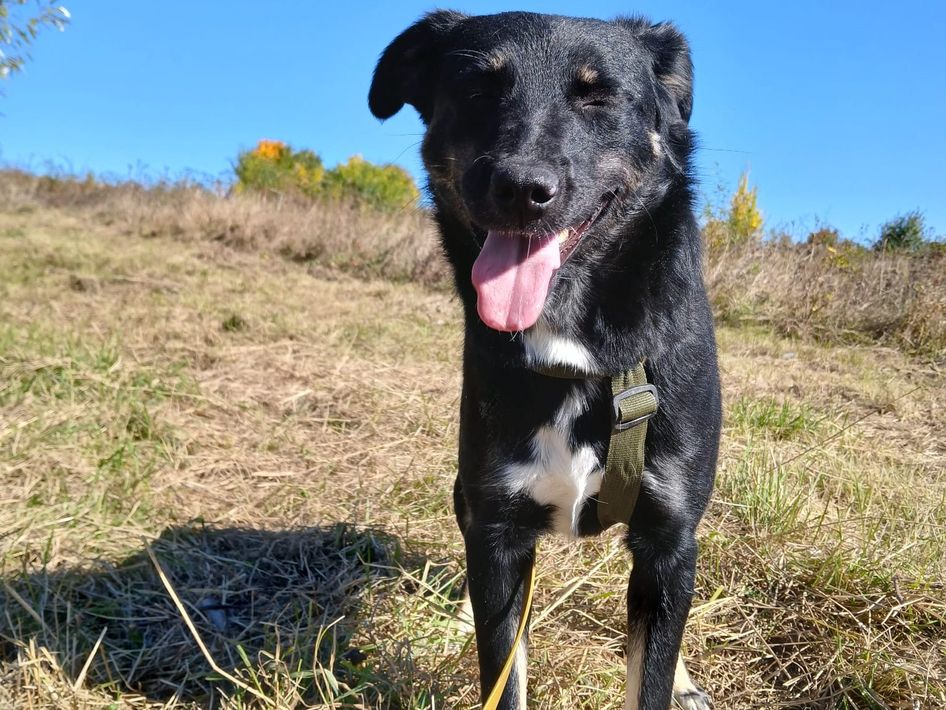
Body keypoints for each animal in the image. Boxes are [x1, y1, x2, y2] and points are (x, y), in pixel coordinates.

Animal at [370, 11, 721, 709]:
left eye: (598, 96)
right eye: (478, 88)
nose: (521, 188)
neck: (580, 351)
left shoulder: (668, 537)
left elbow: (652, 672)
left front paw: (673, 676)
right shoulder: (498, 527)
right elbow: (503, 668)